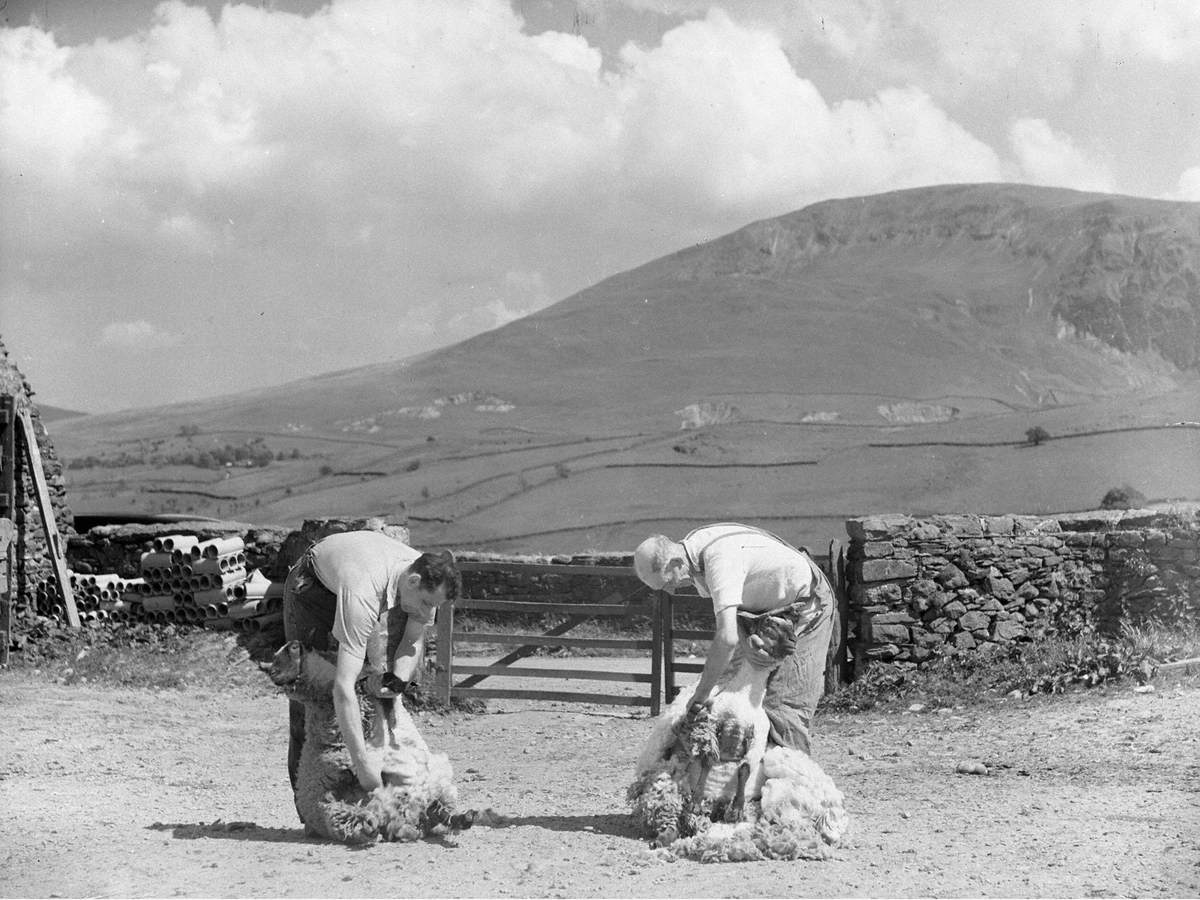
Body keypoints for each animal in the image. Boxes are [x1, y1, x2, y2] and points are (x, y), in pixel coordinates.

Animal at [267, 643, 477, 844]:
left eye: (292, 651)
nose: (294, 644)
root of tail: (412, 819)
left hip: (430, 792)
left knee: (439, 812)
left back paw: (464, 817)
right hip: (332, 811)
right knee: (355, 820)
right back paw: (371, 825)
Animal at [628, 619, 854, 864]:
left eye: (791, 627)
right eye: (768, 625)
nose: (793, 641)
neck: (744, 698)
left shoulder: (757, 739)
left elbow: (744, 768)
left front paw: (736, 808)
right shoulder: (713, 725)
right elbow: (708, 761)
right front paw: (697, 799)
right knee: (676, 818)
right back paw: (663, 838)